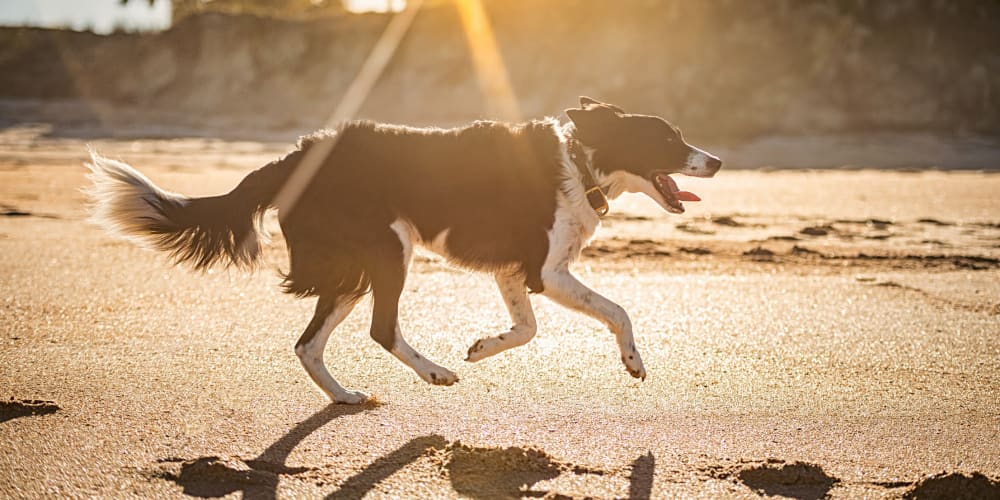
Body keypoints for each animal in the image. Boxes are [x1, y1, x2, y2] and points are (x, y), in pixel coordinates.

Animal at [86, 96, 724, 402]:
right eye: (668, 138)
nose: (716, 160)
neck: (581, 159)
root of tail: (298, 155)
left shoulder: (514, 271)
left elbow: (526, 329)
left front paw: (482, 347)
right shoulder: (544, 270)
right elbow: (617, 310)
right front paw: (633, 360)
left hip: (355, 269)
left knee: (307, 343)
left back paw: (345, 396)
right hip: (388, 251)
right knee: (380, 328)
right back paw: (434, 373)